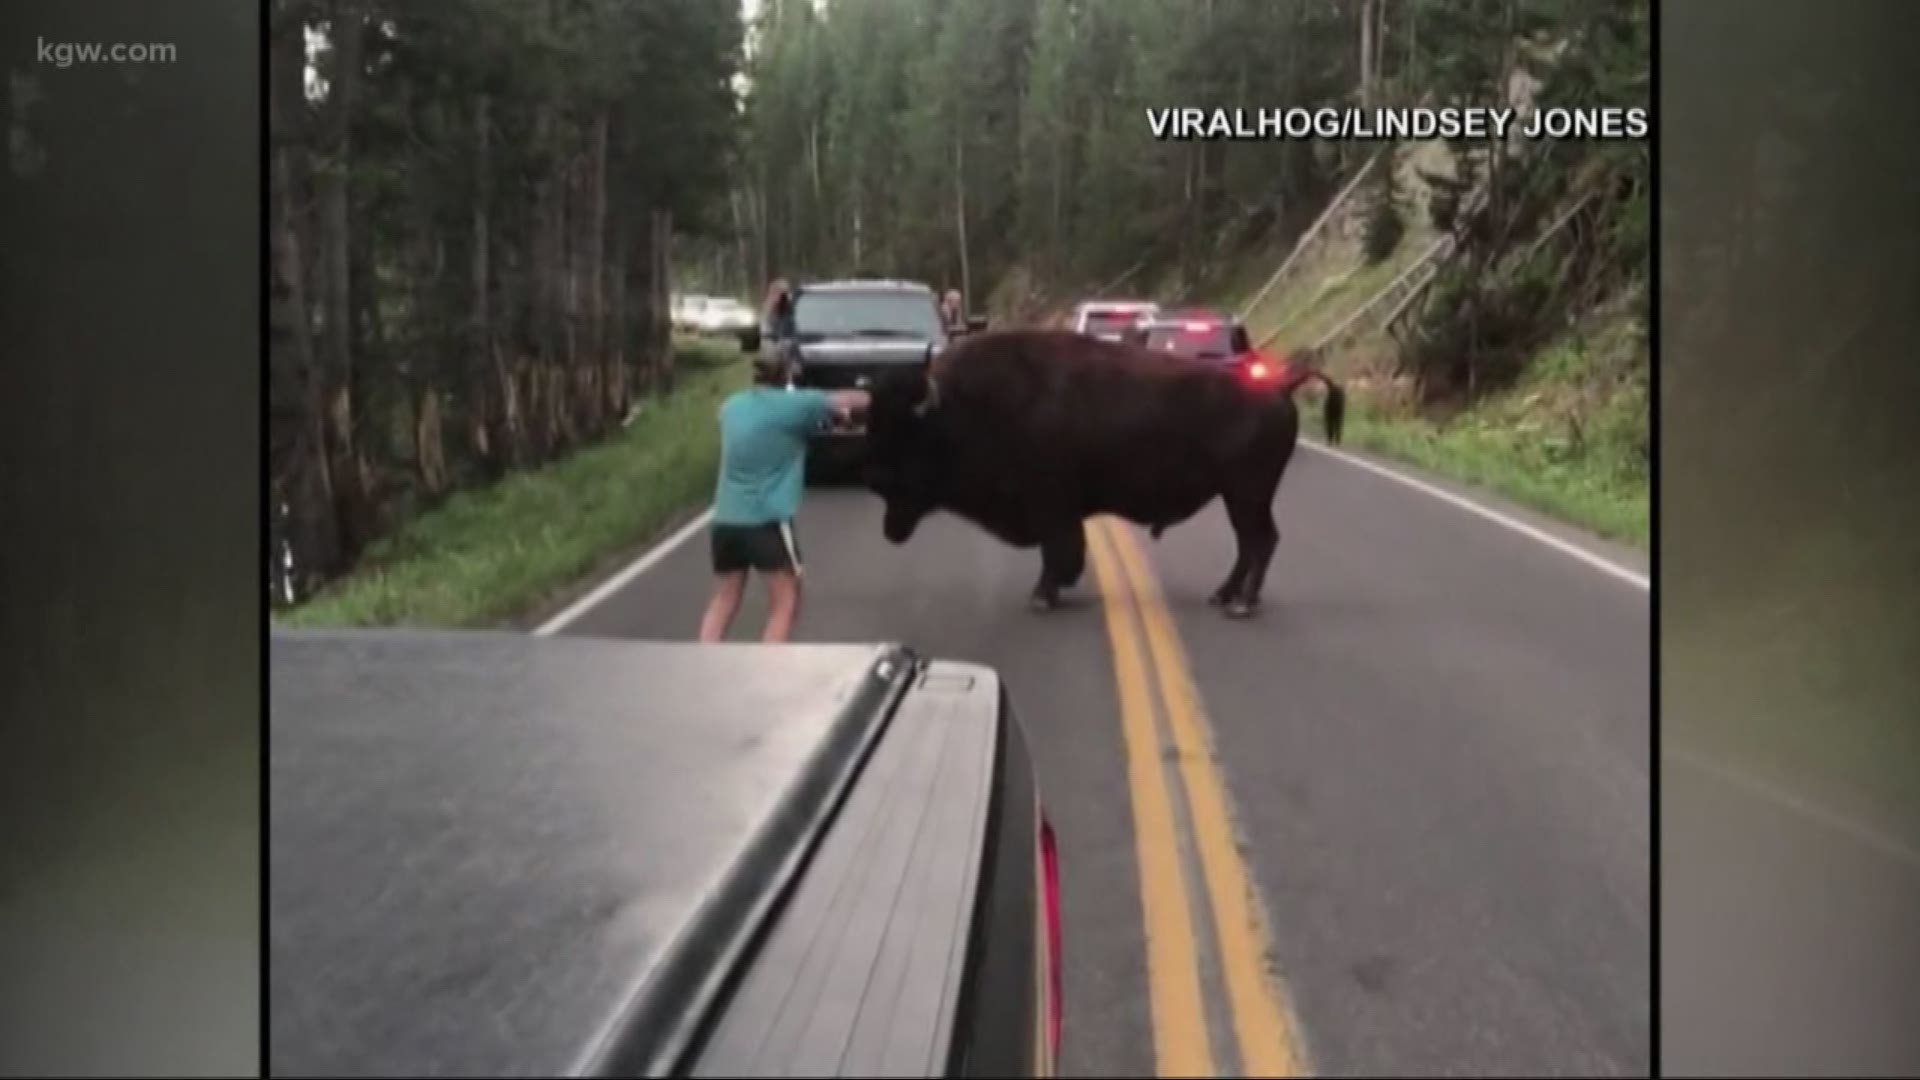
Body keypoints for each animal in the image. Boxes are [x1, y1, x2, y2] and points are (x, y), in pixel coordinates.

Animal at [864, 326, 1344, 614]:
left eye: (907, 432)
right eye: (873, 421)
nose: (873, 477)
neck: (965, 404)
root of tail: (1280, 385)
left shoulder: (1051, 505)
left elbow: (1059, 551)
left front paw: (1042, 596)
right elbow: (1060, 551)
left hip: (1247, 493)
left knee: (1260, 541)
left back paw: (1241, 604)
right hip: (1240, 496)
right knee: (1250, 543)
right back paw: (1222, 596)